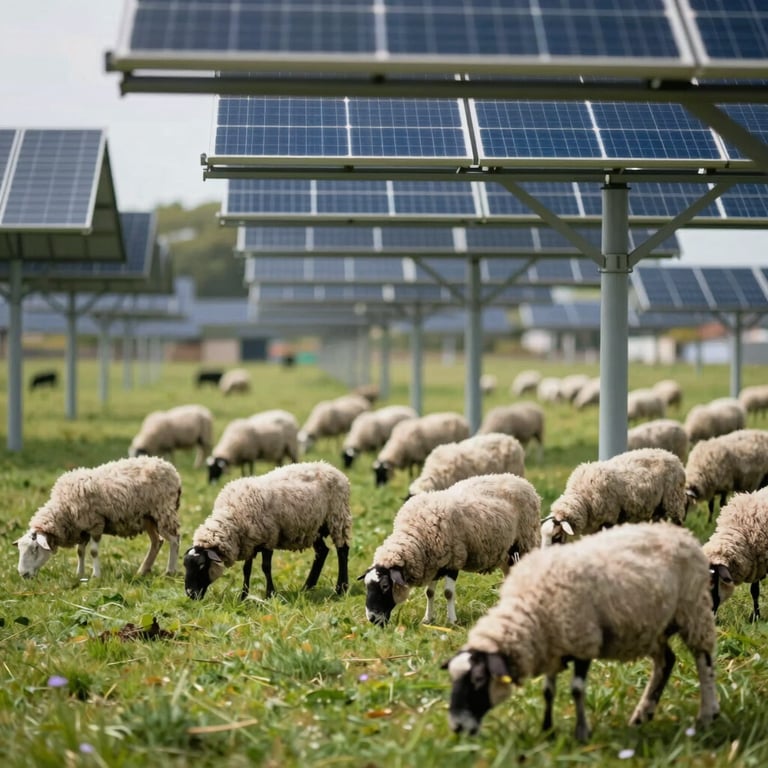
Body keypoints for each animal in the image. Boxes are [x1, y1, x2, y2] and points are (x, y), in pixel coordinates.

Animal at [15, 456, 181, 580]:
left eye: (35, 549)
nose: (23, 574)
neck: (64, 508)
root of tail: (170, 467)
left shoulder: (95, 524)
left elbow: (93, 552)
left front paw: (96, 576)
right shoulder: (82, 529)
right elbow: (80, 552)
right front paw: (79, 574)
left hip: (163, 511)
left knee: (174, 539)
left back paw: (170, 571)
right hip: (148, 518)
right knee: (157, 541)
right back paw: (142, 570)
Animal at [183, 460, 351, 601]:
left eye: (201, 566)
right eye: (185, 566)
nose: (190, 594)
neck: (233, 513)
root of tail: (331, 467)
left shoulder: (269, 538)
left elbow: (265, 567)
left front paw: (270, 594)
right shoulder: (249, 542)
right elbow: (246, 569)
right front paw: (243, 596)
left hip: (337, 517)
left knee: (342, 550)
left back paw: (341, 588)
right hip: (314, 527)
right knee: (322, 552)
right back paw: (307, 587)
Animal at [360, 473, 542, 625]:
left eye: (385, 586)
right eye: (366, 585)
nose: (372, 618)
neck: (416, 534)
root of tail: (520, 480)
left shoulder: (453, 561)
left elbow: (448, 593)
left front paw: (452, 620)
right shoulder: (433, 563)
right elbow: (429, 593)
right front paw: (427, 619)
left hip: (525, 543)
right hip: (507, 553)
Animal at [443, 522, 719, 741]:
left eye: (478, 680)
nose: (456, 727)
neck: (533, 609)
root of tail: (680, 531)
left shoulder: (583, 639)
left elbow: (576, 689)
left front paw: (582, 733)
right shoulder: (553, 645)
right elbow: (548, 691)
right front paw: (547, 730)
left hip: (694, 611)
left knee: (703, 660)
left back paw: (707, 715)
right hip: (653, 626)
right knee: (666, 661)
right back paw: (642, 715)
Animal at [541, 447, 687, 546]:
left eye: (556, 536)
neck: (582, 499)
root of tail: (672, 456)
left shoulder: (609, 519)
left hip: (673, 502)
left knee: (678, 524)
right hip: (658, 510)